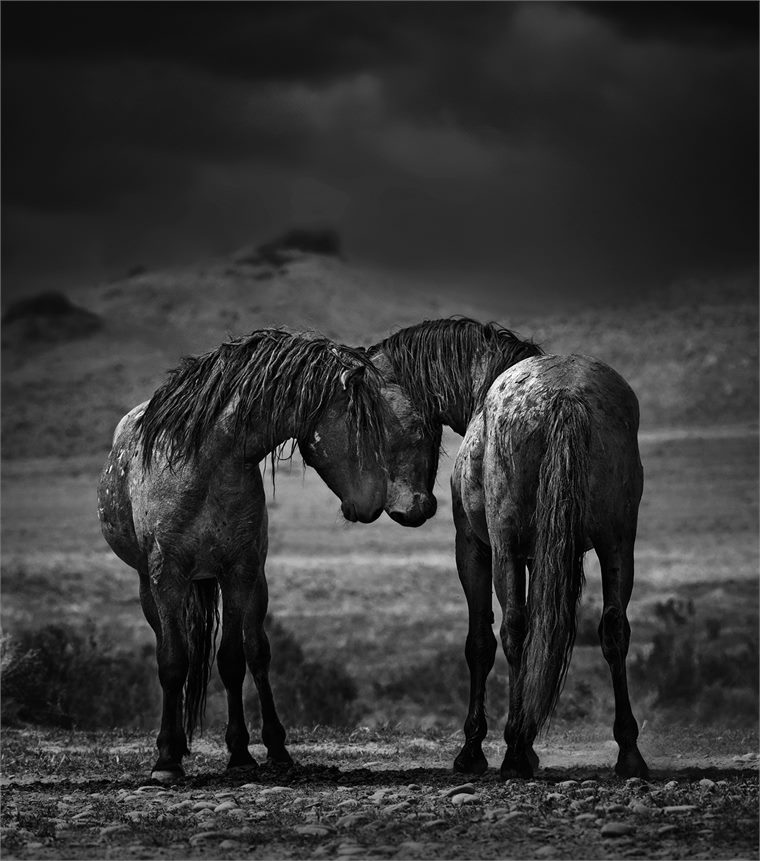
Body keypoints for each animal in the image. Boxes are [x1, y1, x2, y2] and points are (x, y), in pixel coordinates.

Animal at [97, 328, 439, 782]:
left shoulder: (239, 571)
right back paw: (180, 744)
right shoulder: (165, 577)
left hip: (250, 584)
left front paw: (241, 752)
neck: (204, 465)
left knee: (255, 653)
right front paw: (166, 759)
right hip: (150, 589)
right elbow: (172, 662)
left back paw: (274, 748)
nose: (379, 506)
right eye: (370, 427)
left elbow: (233, 660)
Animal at [371, 318, 649, 779]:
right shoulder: (541, 556)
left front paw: (475, 749)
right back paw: (628, 754)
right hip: (617, 544)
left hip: (506, 548)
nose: (410, 509)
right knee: (614, 629)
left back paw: (515, 752)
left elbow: (480, 642)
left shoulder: (474, 549)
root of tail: (565, 397)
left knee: (514, 630)